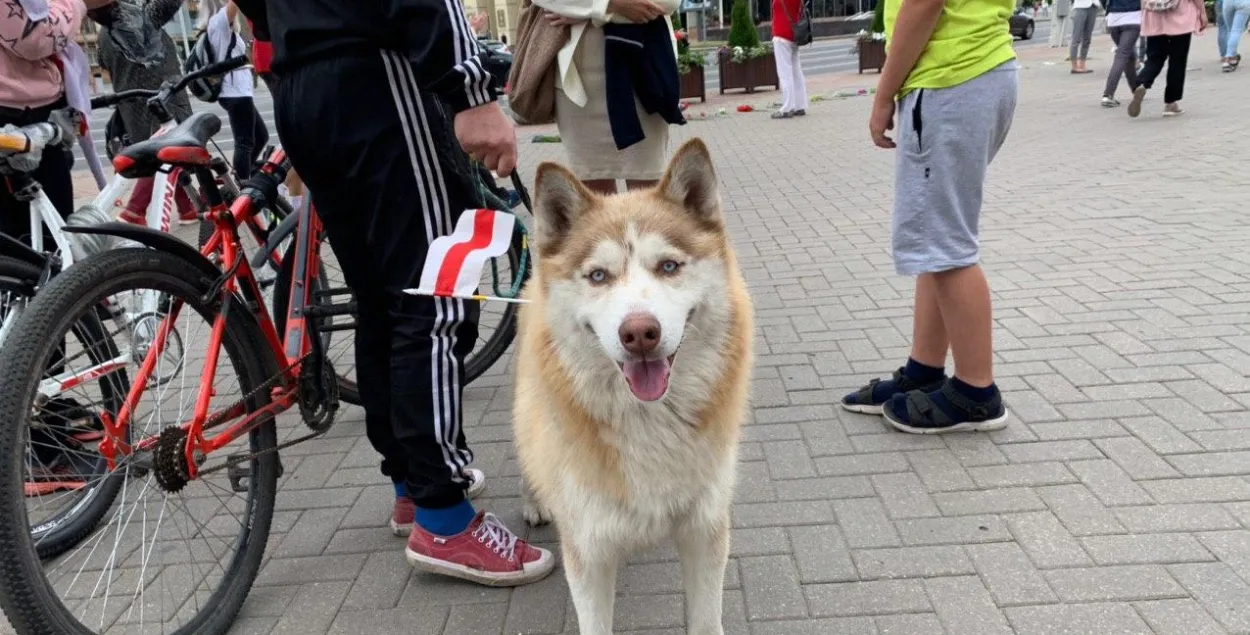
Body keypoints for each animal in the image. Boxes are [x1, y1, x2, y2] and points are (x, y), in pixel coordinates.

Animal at [507, 138, 750, 635]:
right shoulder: (589, 551)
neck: (650, 422)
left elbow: (706, 620)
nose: (640, 333)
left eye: (669, 266)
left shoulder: (705, 531)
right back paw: (534, 501)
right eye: (599, 275)